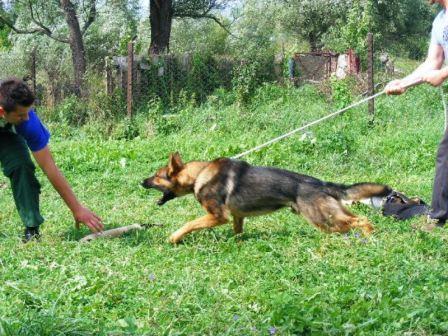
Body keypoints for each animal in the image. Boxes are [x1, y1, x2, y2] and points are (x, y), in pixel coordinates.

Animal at [142, 153, 390, 244]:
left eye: (156, 176)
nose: (141, 182)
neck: (198, 175)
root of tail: (320, 183)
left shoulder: (217, 216)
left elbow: (189, 224)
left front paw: (174, 237)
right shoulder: (236, 217)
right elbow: (237, 232)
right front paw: (237, 243)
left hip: (324, 220)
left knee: (362, 220)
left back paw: (370, 237)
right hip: (331, 218)